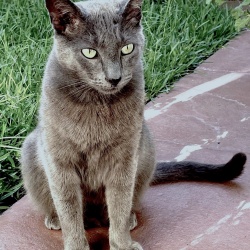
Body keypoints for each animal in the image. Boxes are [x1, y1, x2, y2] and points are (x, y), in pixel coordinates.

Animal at [20, 0, 246, 250]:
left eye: (127, 48)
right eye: (89, 52)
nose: (114, 78)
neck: (97, 105)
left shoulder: (125, 157)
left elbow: (119, 202)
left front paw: (122, 244)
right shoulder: (59, 161)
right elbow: (69, 210)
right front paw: (76, 244)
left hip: (145, 149)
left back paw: (128, 219)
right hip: (30, 150)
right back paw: (55, 219)